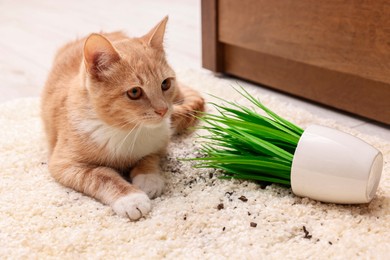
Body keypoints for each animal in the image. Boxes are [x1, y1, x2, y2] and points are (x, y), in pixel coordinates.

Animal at [41, 16, 204, 219]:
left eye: (165, 83)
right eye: (134, 92)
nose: (163, 110)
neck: (127, 130)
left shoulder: (160, 142)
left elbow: (149, 157)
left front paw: (148, 178)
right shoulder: (63, 164)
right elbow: (101, 175)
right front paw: (131, 198)